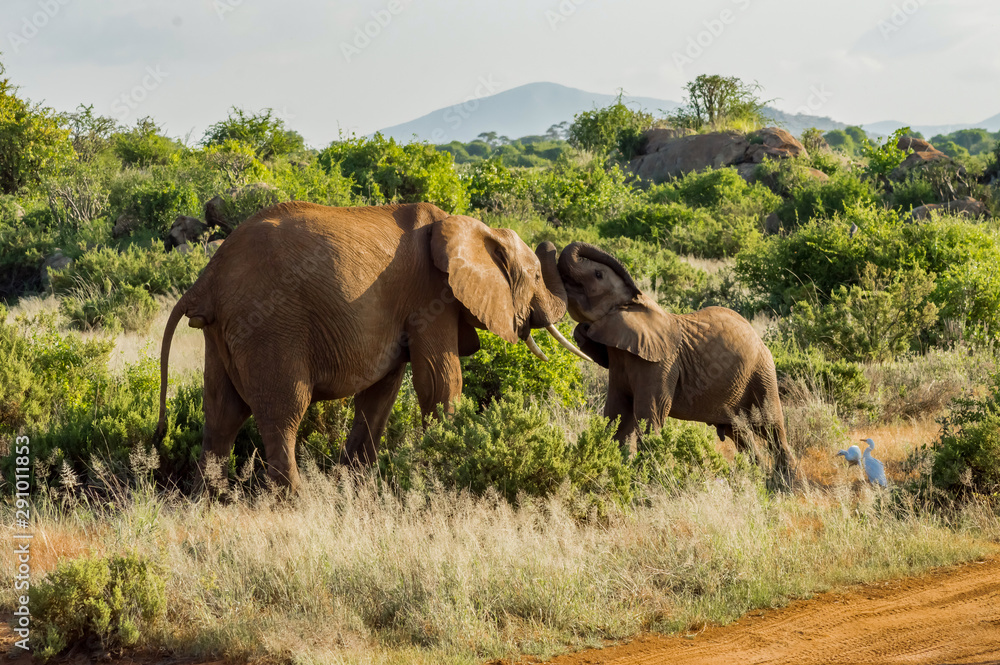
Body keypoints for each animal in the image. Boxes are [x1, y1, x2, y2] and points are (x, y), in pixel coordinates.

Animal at [156, 201, 584, 488]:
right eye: (534, 276)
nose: (555, 246)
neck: (470, 227)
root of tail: (207, 278)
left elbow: (381, 393)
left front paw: (359, 483)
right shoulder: (432, 296)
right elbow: (438, 382)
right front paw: (443, 463)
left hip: (225, 332)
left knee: (221, 413)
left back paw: (208, 500)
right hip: (269, 324)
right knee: (283, 411)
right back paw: (297, 502)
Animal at [556, 241, 796, 486]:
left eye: (598, 275)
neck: (636, 308)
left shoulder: (660, 365)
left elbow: (649, 415)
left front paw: (648, 481)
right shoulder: (619, 361)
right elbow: (617, 415)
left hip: (762, 372)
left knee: (772, 427)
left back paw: (785, 484)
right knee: (740, 433)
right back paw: (760, 478)